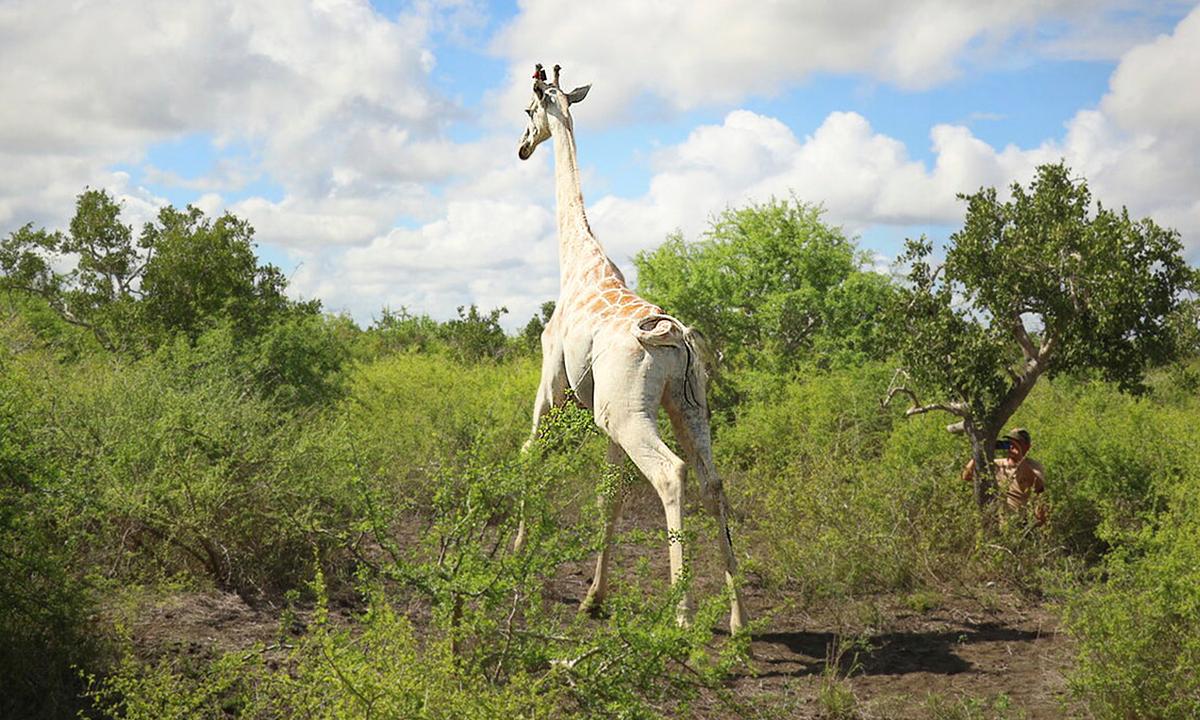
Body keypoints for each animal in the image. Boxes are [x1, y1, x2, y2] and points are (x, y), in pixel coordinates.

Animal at [515, 63, 747, 633]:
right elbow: (609, 497)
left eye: (529, 111)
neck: (576, 261)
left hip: (629, 413)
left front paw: (515, 561)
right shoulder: (603, 417)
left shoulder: (554, 389)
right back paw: (738, 621)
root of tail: (675, 337)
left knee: (671, 474)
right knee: (713, 482)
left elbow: (530, 455)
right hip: (684, 405)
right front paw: (593, 598)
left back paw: (682, 617)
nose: (522, 147)